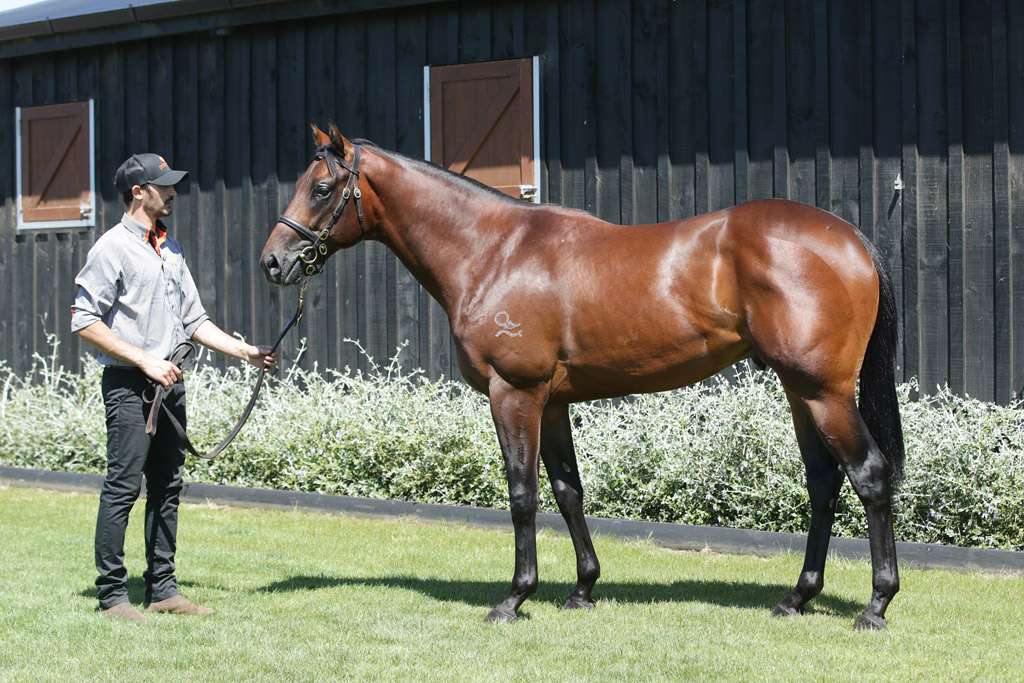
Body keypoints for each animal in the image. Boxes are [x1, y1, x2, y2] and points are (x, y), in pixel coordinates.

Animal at [261, 121, 905, 630]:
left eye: (322, 188)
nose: (273, 262)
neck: (494, 252)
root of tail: (849, 238)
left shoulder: (514, 394)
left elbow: (523, 494)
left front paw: (514, 599)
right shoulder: (550, 403)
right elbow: (568, 491)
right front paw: (582, 589)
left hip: (824, 393)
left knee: (870, 476)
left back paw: (876, 605)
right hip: (801, 393)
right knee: (823, 483)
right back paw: (797, 598)